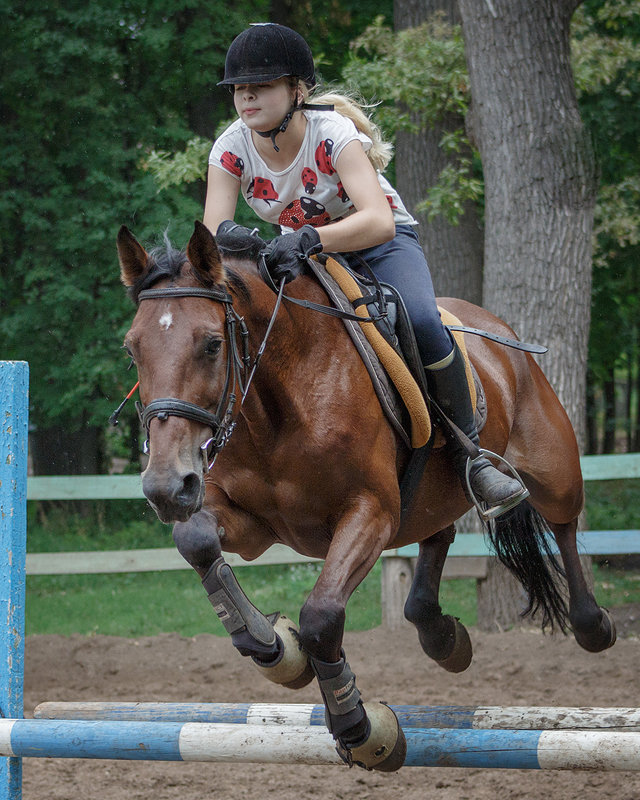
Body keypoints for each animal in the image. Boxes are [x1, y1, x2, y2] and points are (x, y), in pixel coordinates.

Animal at [116, 222, 616, 772]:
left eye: (210, 345)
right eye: (132, 350)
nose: (165, 486)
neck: (280, 398)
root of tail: (497, 329)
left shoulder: (370, 513)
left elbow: (321, 616)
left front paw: (361, 729)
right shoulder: (253, 525)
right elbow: (199, 542)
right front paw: (274, 647)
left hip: (552, 468)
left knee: (564, 522)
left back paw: (592, 624)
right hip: (428, 499)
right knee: (437, 536)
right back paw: (441, 634)